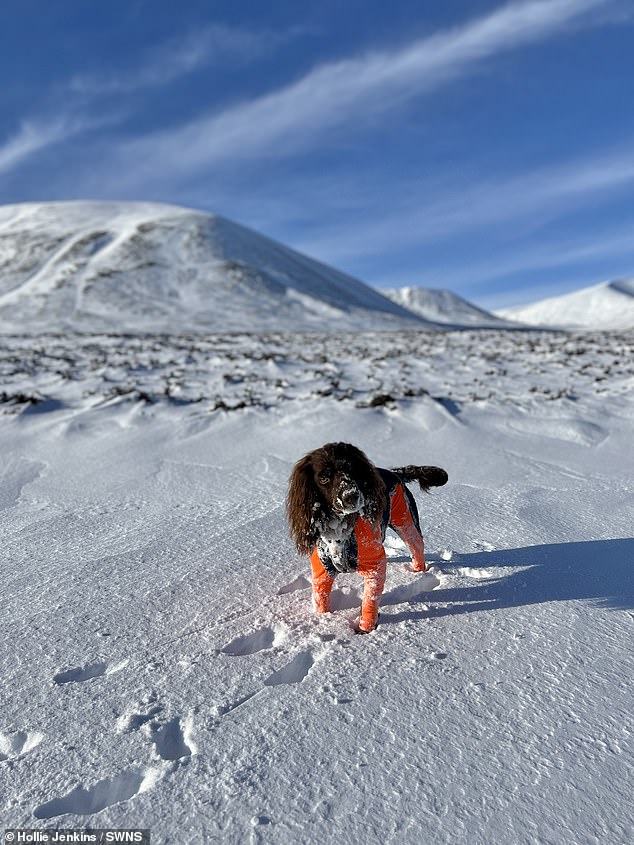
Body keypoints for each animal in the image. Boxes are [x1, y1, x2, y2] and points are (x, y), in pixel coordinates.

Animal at [284, 446, 446, 628]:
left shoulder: (374, 565)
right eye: (324, 478)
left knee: (416, 545)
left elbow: (370, 599)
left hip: (404, 518)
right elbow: (321, 599)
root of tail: (394, 473)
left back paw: (417, 573)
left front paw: (365, 628)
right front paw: (324, 619)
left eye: (351, 470)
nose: (351, 495)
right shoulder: (322, 570)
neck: (339, 528)